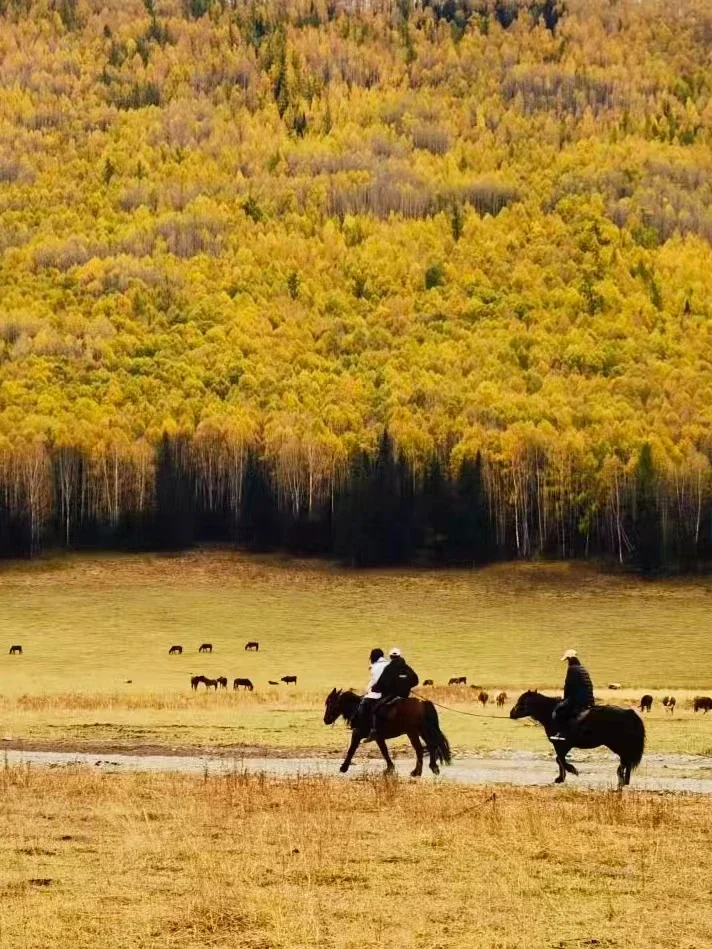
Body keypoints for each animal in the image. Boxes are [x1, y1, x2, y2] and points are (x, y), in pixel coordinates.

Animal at [322, 688, 450, 776]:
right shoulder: (378, 737)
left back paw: (417, 772)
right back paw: (432, 768)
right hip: (422, 731)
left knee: (421, 749)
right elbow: (384, 751)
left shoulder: (358, 734)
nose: (326, 720)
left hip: (413, 732)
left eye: (330, 703)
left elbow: (352, 750)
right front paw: (390, 768)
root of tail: (423, 703)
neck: (358, 709)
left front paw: (343, 768)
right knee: (431, 746)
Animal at [512, 684, 644, 788]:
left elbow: (560, 760)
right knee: (626, 761)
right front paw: (561, 778)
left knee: (626, 760)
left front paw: (571, 772)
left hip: (618, 744)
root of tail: (628, 713)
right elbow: (559, 760)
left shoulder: (562, 744)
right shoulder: (563, 745)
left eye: (522, 702)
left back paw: (621, 780)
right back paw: (624, 781)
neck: (552, 716)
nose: (511, 713)